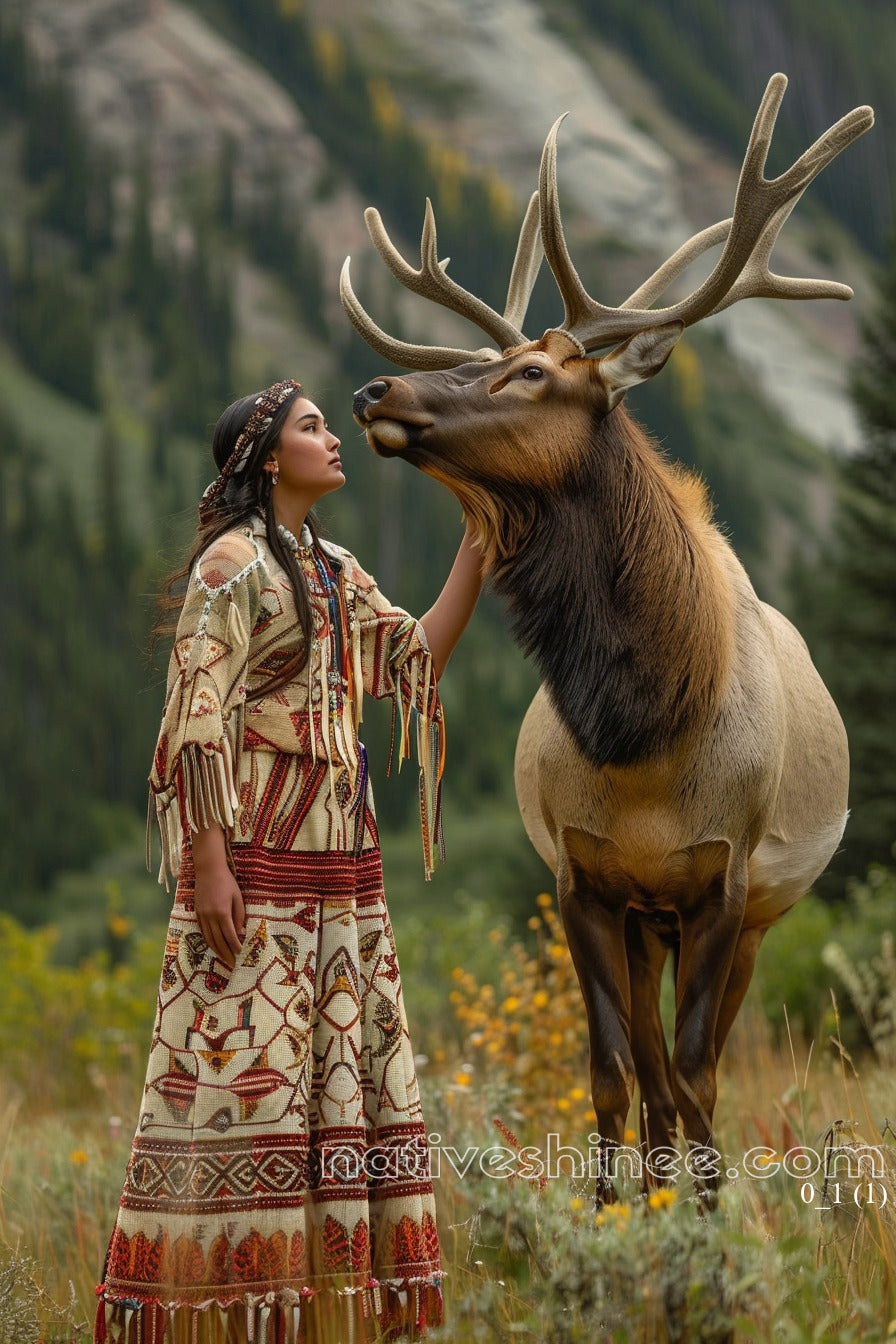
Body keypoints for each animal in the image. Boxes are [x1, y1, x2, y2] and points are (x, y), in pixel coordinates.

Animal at [341, 75, 871, 1202]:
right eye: (489, 363)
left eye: (532, 375)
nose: (374, 389)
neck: (643, 744)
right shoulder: (583, 880)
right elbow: (614, 1076)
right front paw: (611, 1215)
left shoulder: (721, 879)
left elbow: (699, 1077)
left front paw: (703, 1227)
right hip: (641, 919)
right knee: (649, 1072)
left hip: (746, 913)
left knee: (693, 1067)